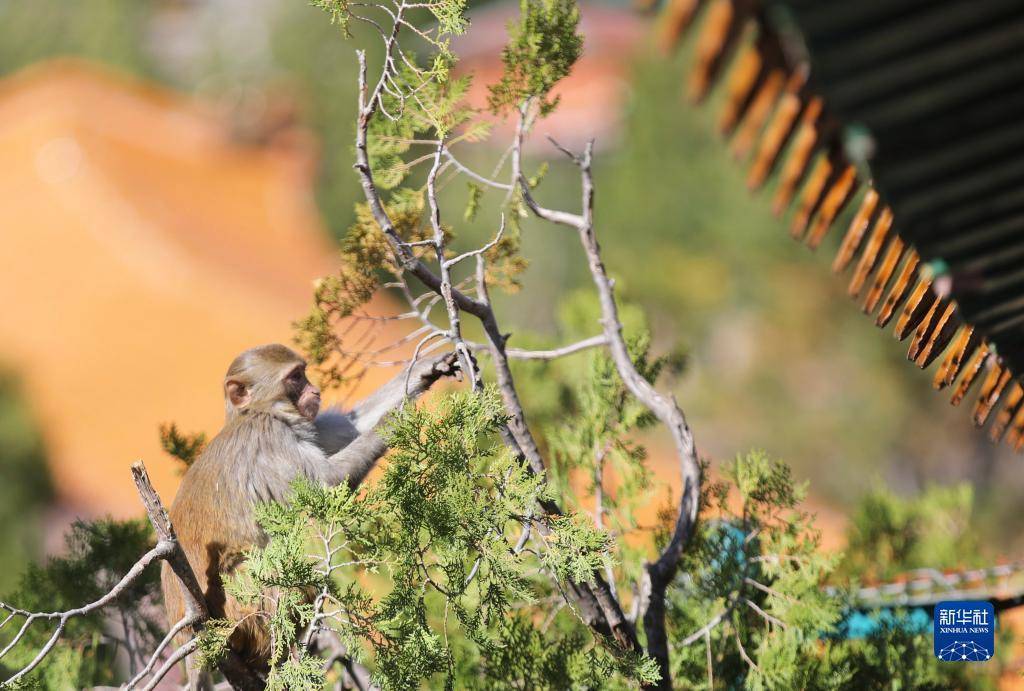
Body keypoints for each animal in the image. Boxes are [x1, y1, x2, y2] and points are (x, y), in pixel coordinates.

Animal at [160, 346, 460, 687]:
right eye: (295, 377)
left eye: (303, 372)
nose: (314, 390)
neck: (257, 413)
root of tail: (190, 633)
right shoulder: (272, 437)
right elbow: (326, 487)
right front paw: (394, 422)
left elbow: (348, 428)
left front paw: (426, 370)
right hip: (240, 604)